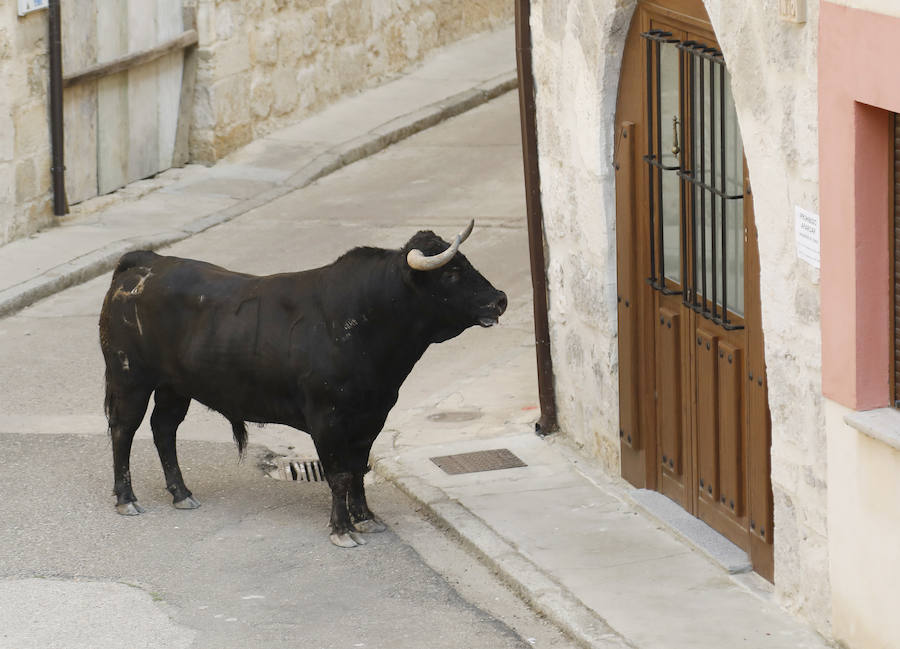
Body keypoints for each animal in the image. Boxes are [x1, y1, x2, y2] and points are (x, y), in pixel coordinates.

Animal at [100, 223, 506, 548]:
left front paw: (366, 519)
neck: (366, 320)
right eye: (452, 273)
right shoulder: (326, 419)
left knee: (163, 429)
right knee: (124, 430)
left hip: (174, 386)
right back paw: (127, 499)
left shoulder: (372, 416)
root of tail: (145, 262)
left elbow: (358, 469)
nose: (499, 300)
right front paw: (342, 530)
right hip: (129, 378)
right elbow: (339, 474)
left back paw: (182, 493)